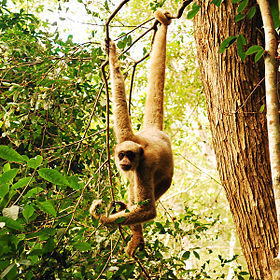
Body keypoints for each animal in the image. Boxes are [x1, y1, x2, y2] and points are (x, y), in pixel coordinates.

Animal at [90, 8, 173, 258]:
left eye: (130, 155)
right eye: (120, 155)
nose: (125, 161)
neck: (137, 144)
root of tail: (153, 131)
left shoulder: (143, 165)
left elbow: (148, 211)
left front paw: (101, 217)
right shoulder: (123, 138)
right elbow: (118, 96)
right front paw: (111, 51)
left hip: (165, 180)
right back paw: (136, 235)